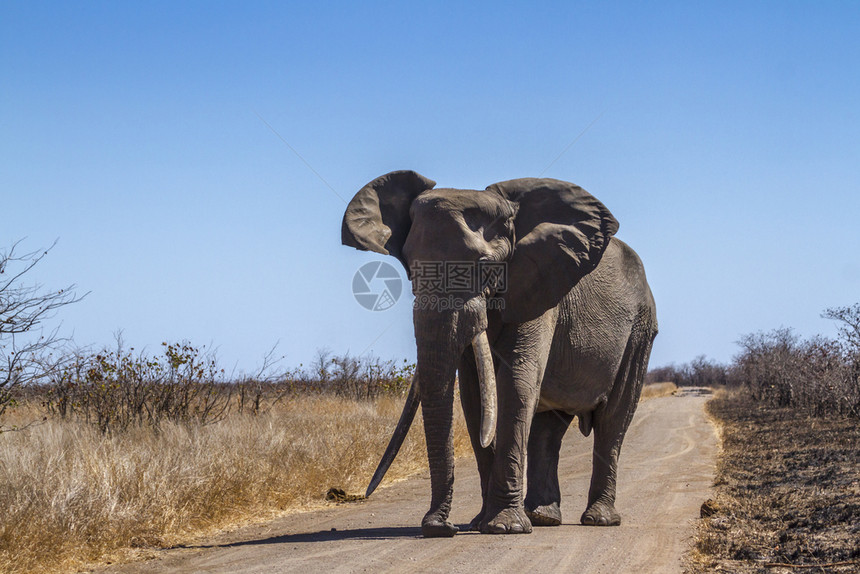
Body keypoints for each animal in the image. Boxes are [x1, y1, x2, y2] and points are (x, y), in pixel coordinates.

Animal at [340, 171, 656, 540]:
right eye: (412, 269)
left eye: (485, 266)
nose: (440, 526)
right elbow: (474, 396)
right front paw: (480, 524)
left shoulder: (539, 287)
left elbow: (516, 383)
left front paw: (505, 527)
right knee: (548, 429)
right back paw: (543, 517)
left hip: (640, 330)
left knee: (613, 420)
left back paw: (598, 519)